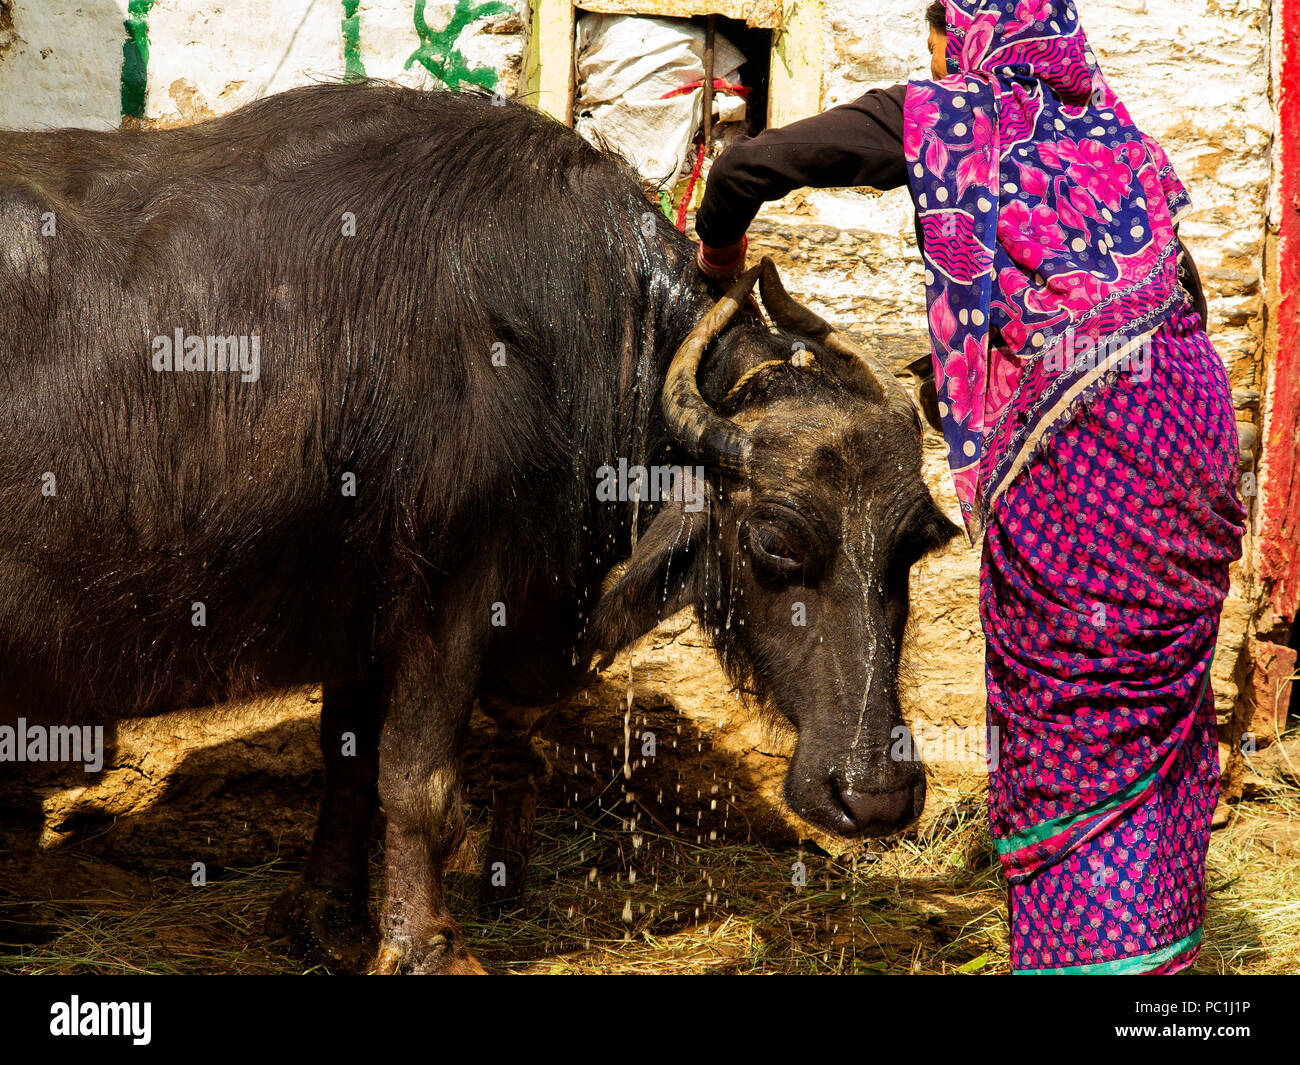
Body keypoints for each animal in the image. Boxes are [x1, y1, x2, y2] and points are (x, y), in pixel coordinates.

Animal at [0, 83, 956, 972]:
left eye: (914, 543)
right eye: (774, 540)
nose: (876, 793)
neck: (555, 339)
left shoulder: (366, 608)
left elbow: (352, 763)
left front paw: (327, 916)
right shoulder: (452, 584)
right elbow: (417, 780)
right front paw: (428, 944)